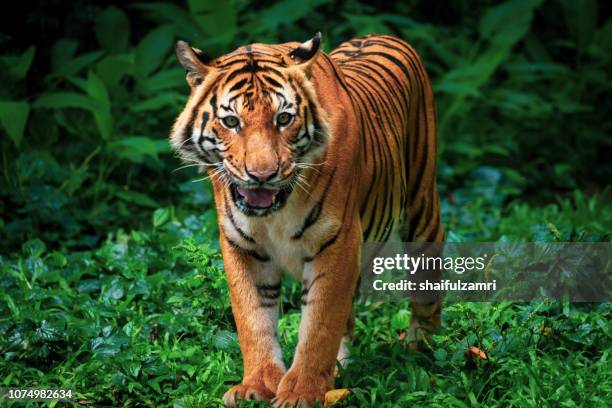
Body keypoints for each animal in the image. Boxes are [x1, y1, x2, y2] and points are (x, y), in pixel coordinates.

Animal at [170, 32, 442, 408]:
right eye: (231, 122)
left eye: (284, 119)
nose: (262, 175)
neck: (275, 209)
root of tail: (381, 34)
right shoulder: (242, 247)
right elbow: (253, 320)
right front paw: (256, 385)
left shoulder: (336, 241)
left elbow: (319, 325)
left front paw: (302, 392)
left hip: (421, 206)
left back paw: (420, 349)